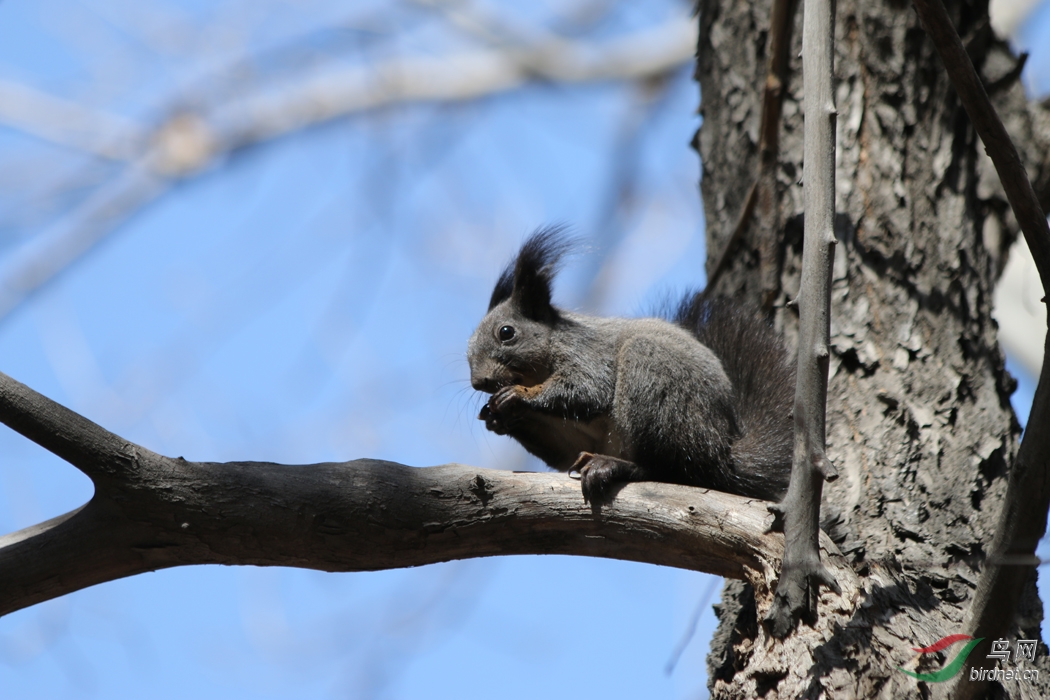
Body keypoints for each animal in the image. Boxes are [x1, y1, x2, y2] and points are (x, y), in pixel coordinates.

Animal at [464, 228, 789, 503]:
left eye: (506, 332)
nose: (479, 382)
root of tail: (720, 454)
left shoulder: (588, 356)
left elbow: (586, 391)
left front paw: (518, 396)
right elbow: (564, 447)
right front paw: (498, 417)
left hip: (656, 387)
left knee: (670, 471)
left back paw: (616, 466)